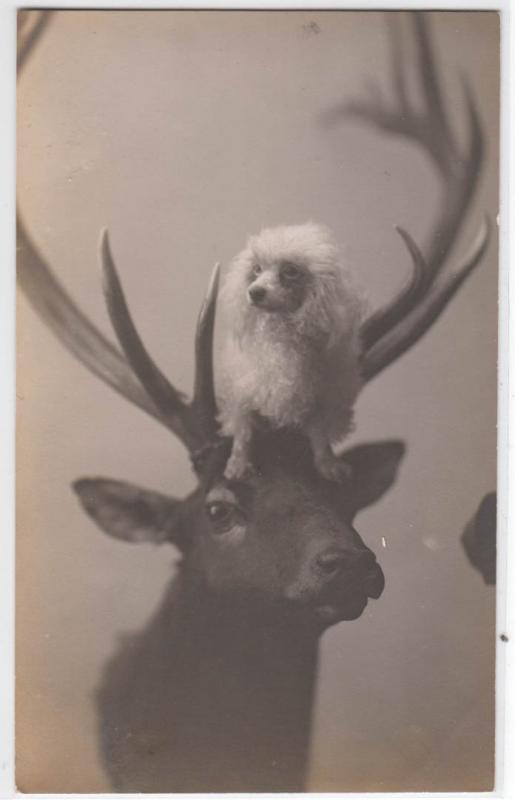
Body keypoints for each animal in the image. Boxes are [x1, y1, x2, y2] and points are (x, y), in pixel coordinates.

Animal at [220, 220, 364, 482]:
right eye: (257, 269)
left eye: (290, 271)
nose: (254, 292)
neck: (282, 340)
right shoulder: (243, 392)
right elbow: (243, 432)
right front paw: (238, 464)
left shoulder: (319, 397)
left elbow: (319, 433)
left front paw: (328, 464)